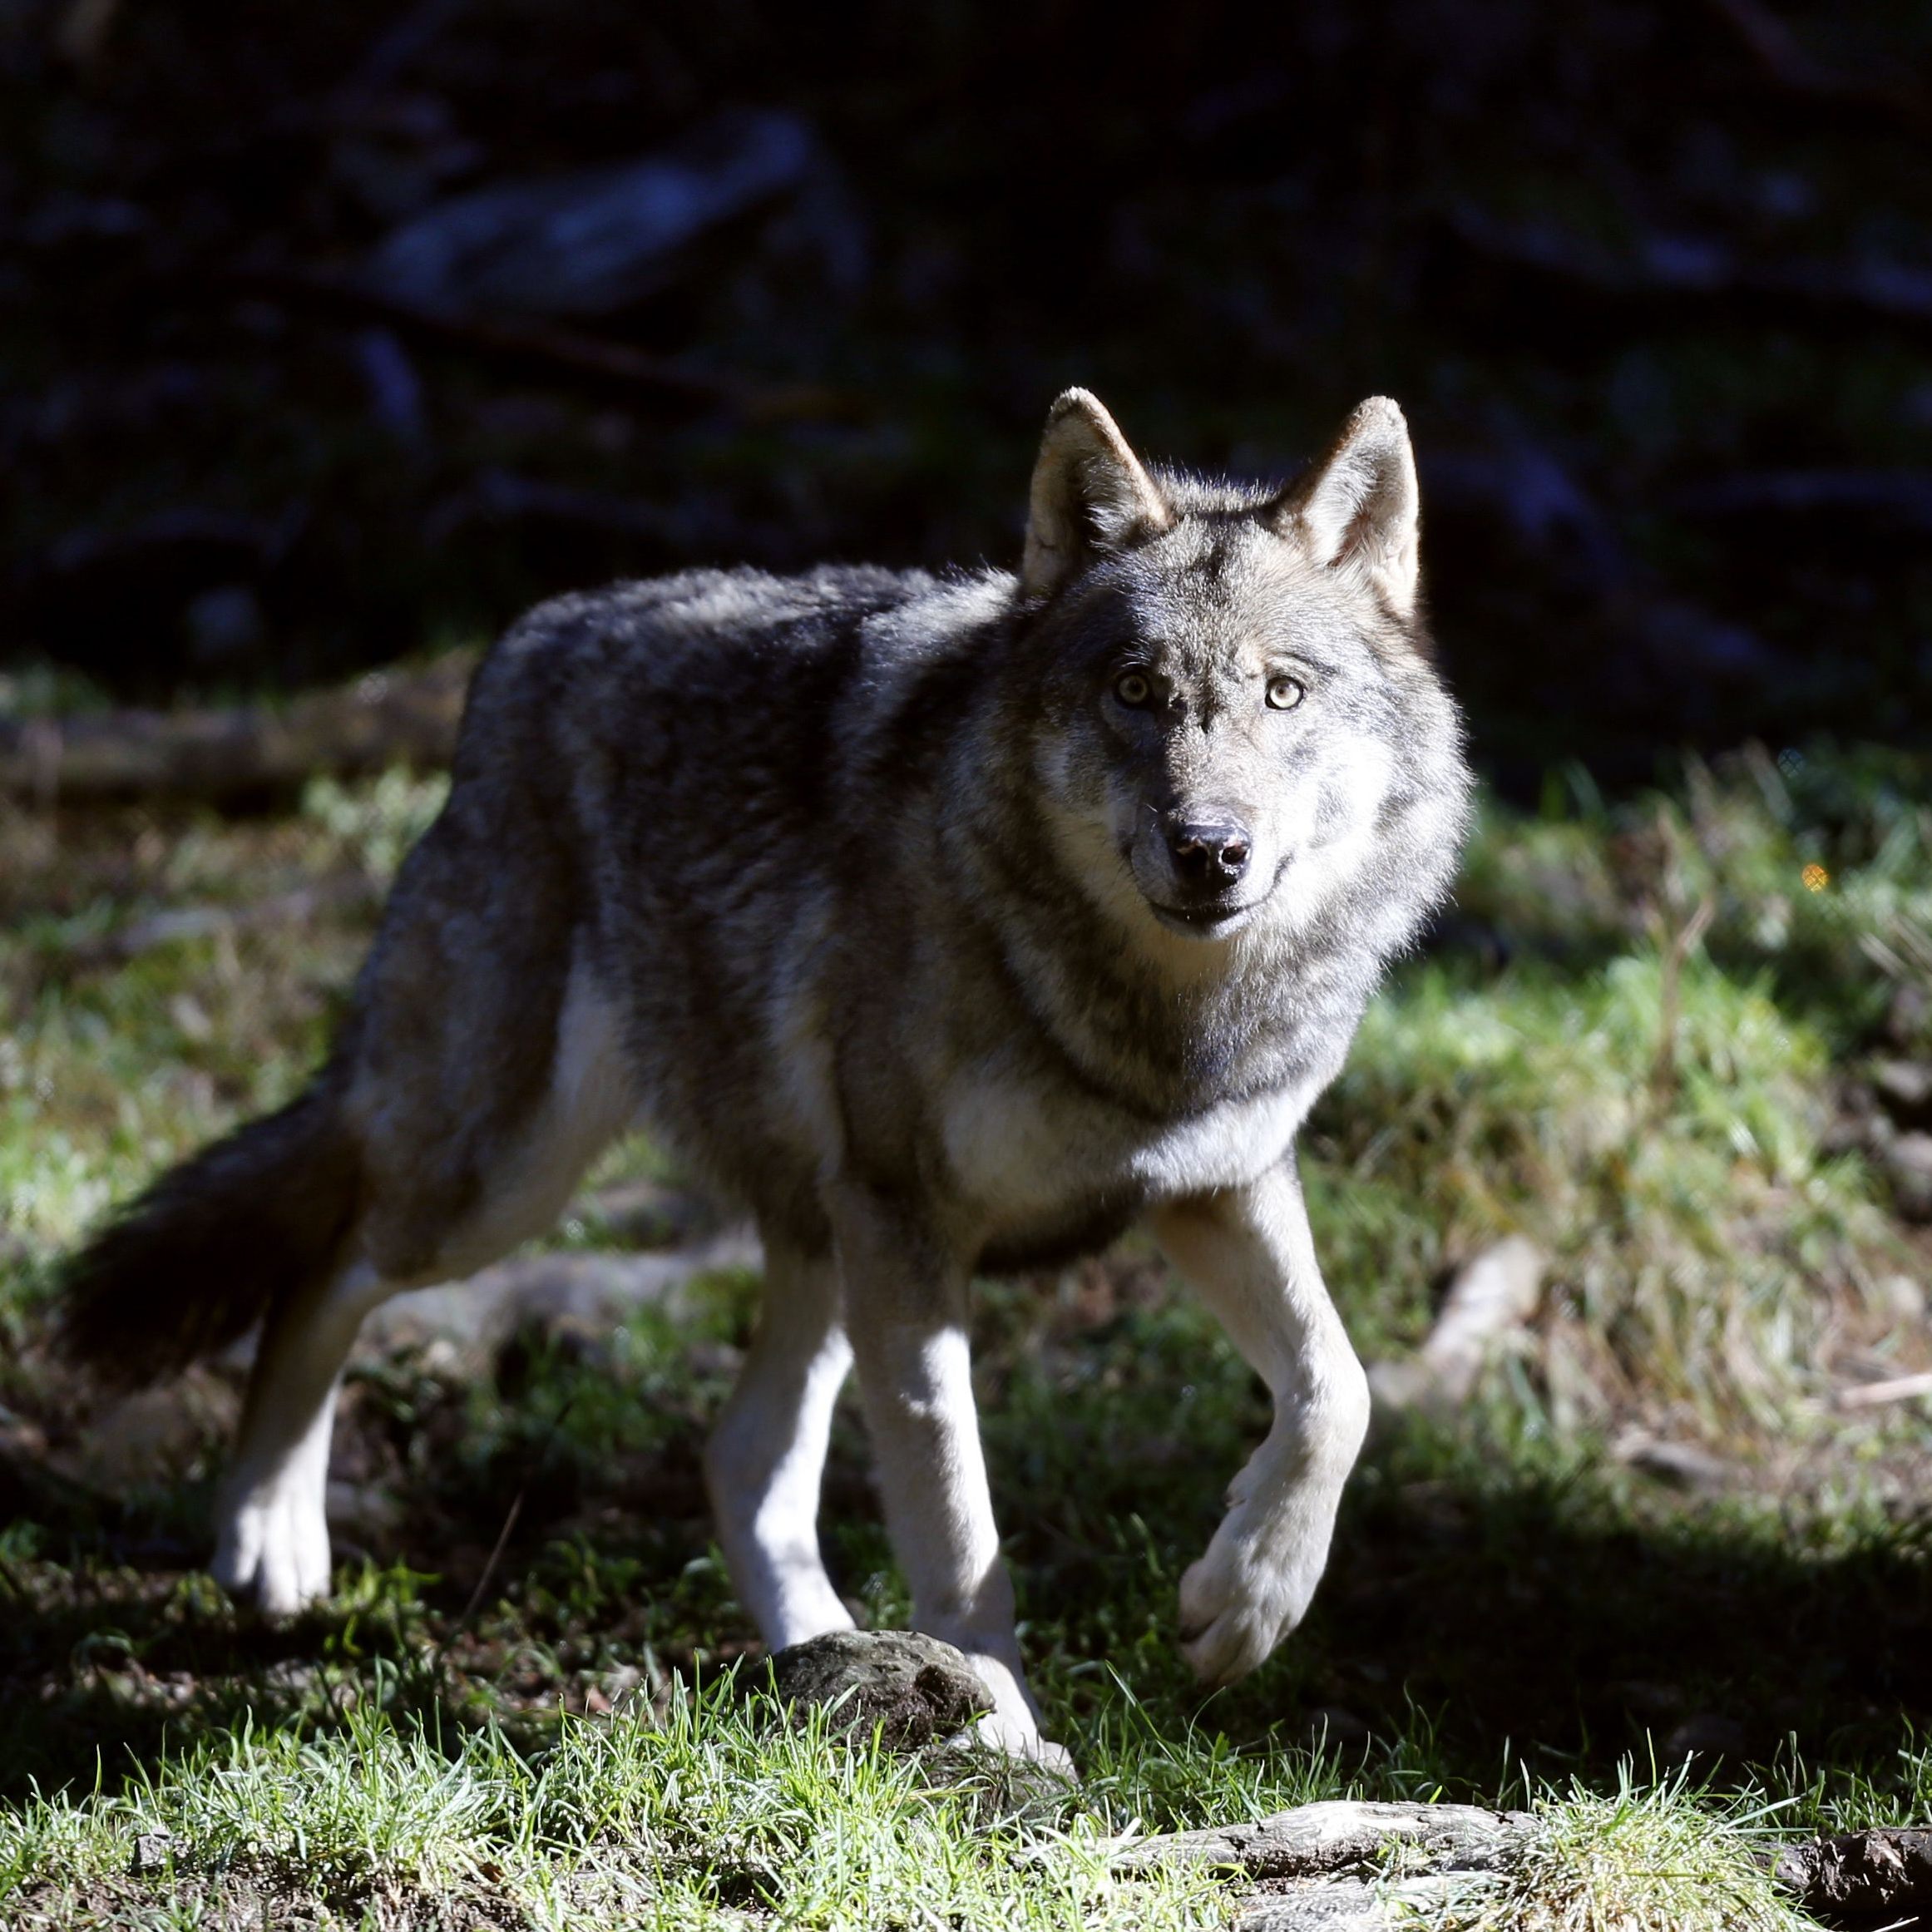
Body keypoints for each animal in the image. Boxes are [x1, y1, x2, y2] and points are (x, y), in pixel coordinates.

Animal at [56, 390, 1471, 1760]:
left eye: (1280, 693)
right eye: (1133, 688)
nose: (1207, 848)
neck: (1153, 1018)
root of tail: (521, 647)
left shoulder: (1211, 1182)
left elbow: (1334, 1388)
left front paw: (1245, 1601)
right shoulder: (910, 1221)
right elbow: (959, 1524)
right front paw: (1005, 1725)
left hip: (806, 1239)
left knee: (739, 1454)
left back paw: (819, 1661)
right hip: (502, 1181)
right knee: (324, 1264)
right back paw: (269, 1533)